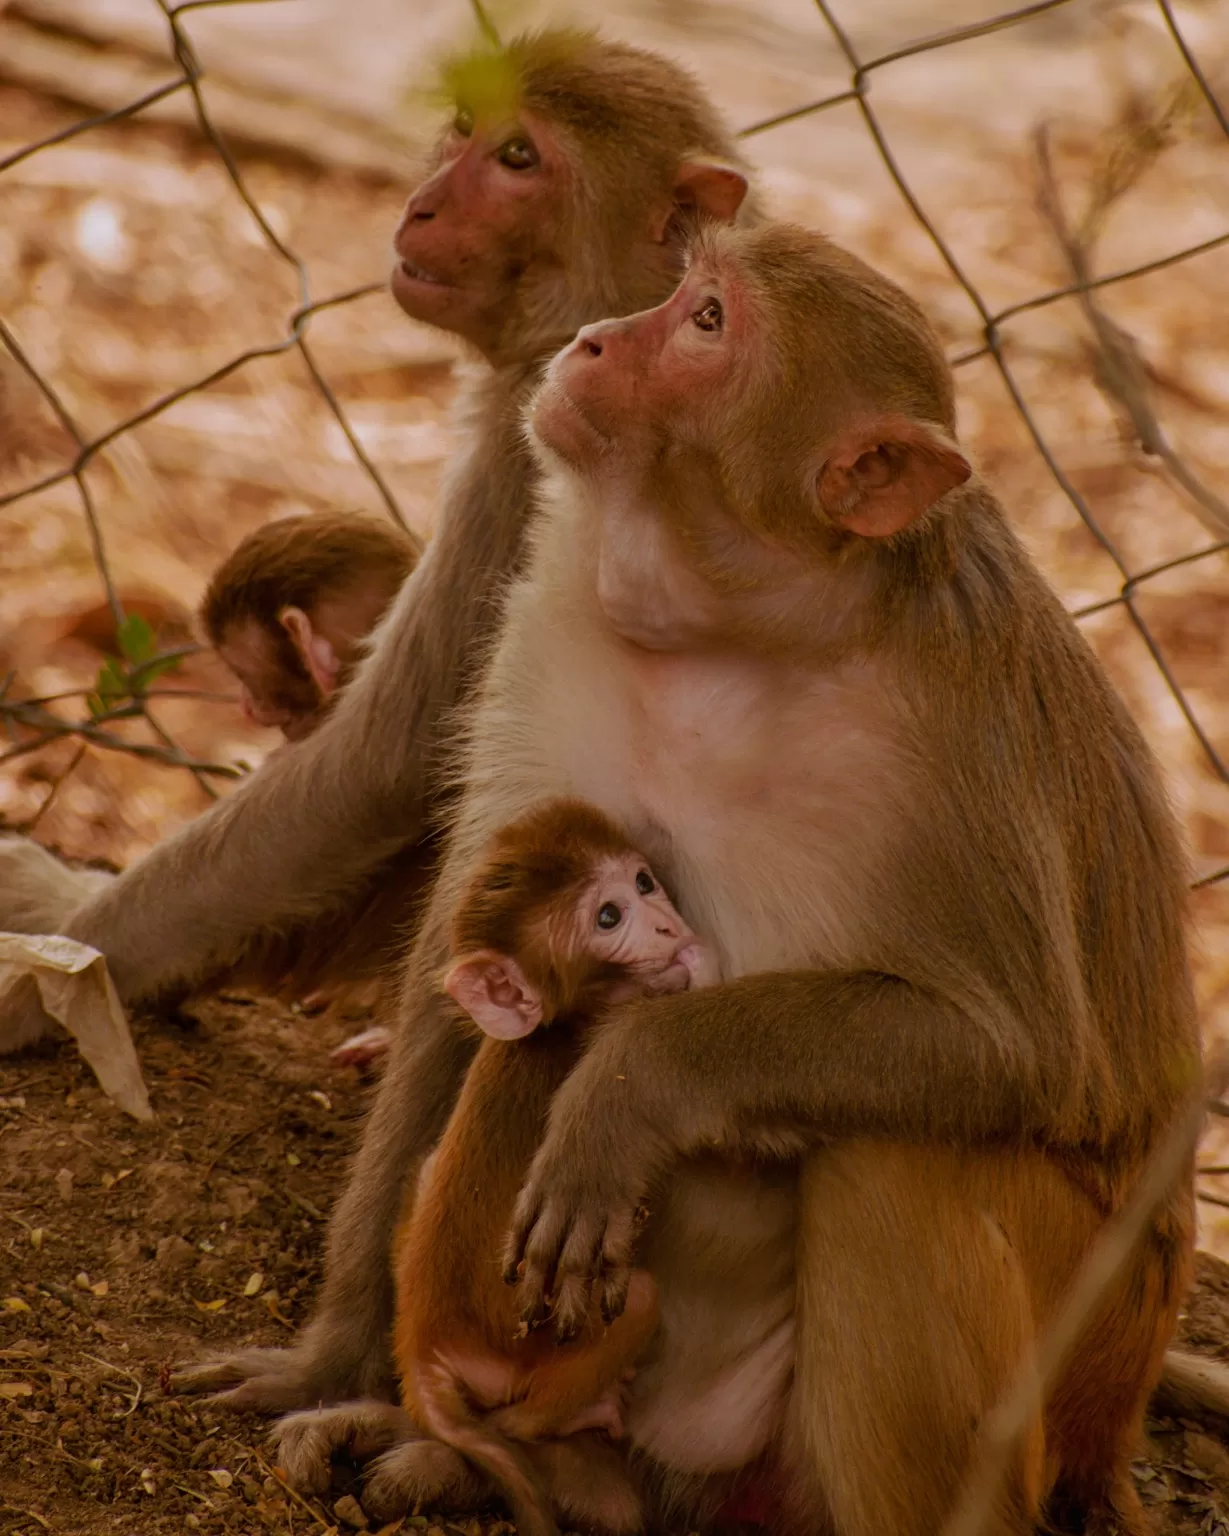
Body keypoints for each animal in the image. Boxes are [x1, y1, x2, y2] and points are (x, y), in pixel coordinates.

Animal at [379, 798, 715, 1536]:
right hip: (520, 1348)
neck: (563, 1023)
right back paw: (553, 1420)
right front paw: (696, 967)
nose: (666, 922)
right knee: (627, 1310)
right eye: (608, 918)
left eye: (643, 882)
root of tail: (422, 1339)